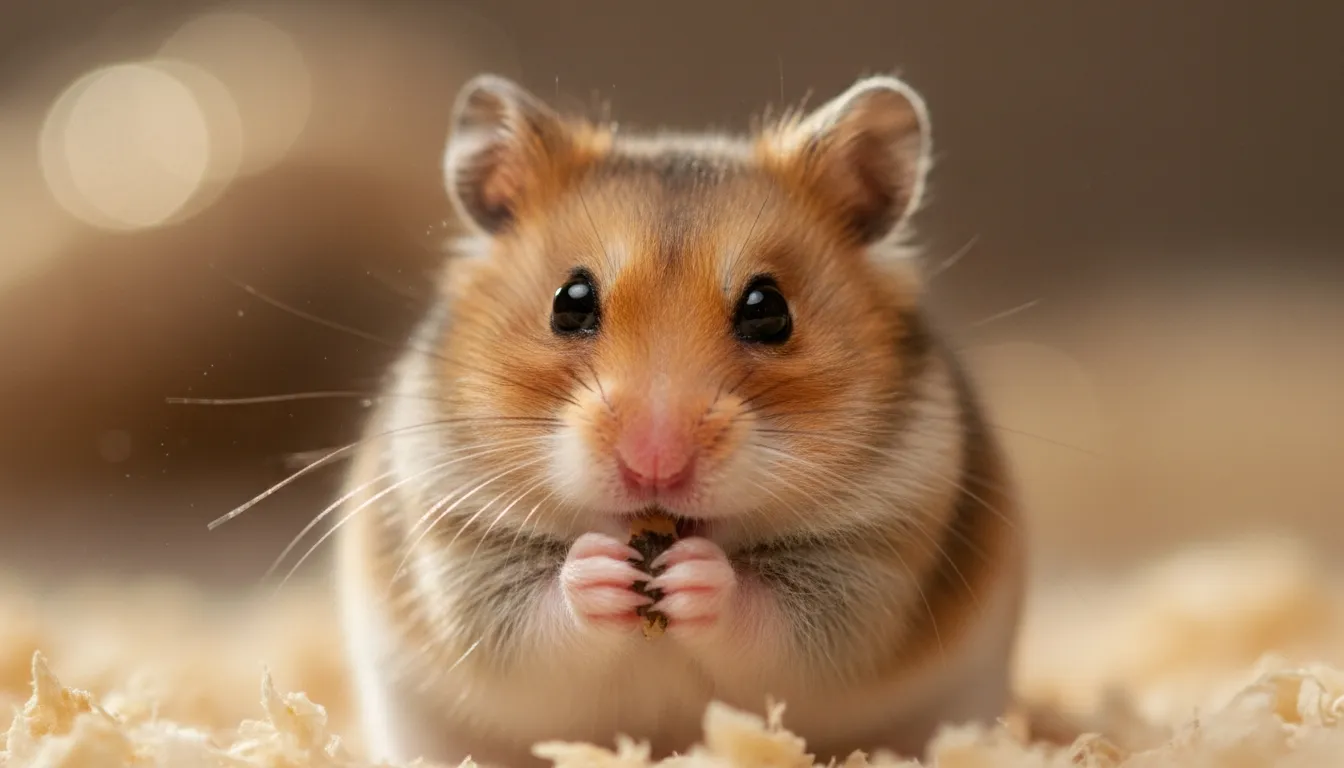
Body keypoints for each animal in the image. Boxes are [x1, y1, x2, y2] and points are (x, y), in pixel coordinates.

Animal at [334, 72, 1026, 767]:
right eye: (569, 302)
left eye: (768, 310)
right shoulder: (453, 533)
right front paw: (603, 570)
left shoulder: (877, 554)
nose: (655, 463)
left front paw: (696, 575)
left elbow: (786, 620)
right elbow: (526, 612)